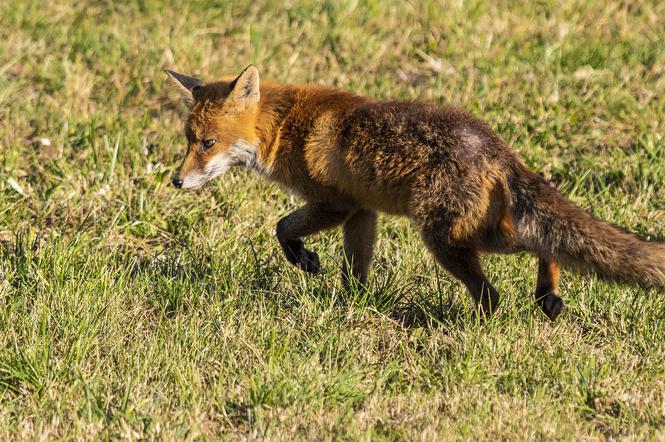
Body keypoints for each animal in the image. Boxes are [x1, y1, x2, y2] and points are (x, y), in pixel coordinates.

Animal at [165, 65, 664, 320]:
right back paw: (547, 296)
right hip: (479, 232)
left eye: (207, 143)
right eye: (187, 140)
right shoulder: (361, 211)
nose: (176, 182)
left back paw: (479, 329)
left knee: (497, 290)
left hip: (445, 238)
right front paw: (354, 304)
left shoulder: (335, 203)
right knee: (546, 242)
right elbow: (356, 269)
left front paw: (304, 260)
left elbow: (282, 227)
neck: (285, 126)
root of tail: (497, 147)